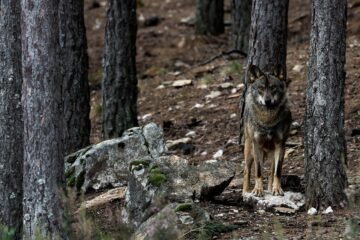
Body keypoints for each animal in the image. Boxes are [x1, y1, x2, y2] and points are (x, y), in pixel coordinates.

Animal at [242, 64, 292, 197]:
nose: (267, 101)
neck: (268, 120)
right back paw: (245, 192)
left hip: (272, 153)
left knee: (270, 171)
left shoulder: (280, 145)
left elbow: (277, 172)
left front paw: (277, 189)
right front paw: (258, 190)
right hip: (249, 150)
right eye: (261, 88)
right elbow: (258, 171)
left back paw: (271, 189)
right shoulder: (257, 145)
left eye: (273, 87)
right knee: (246, 171)